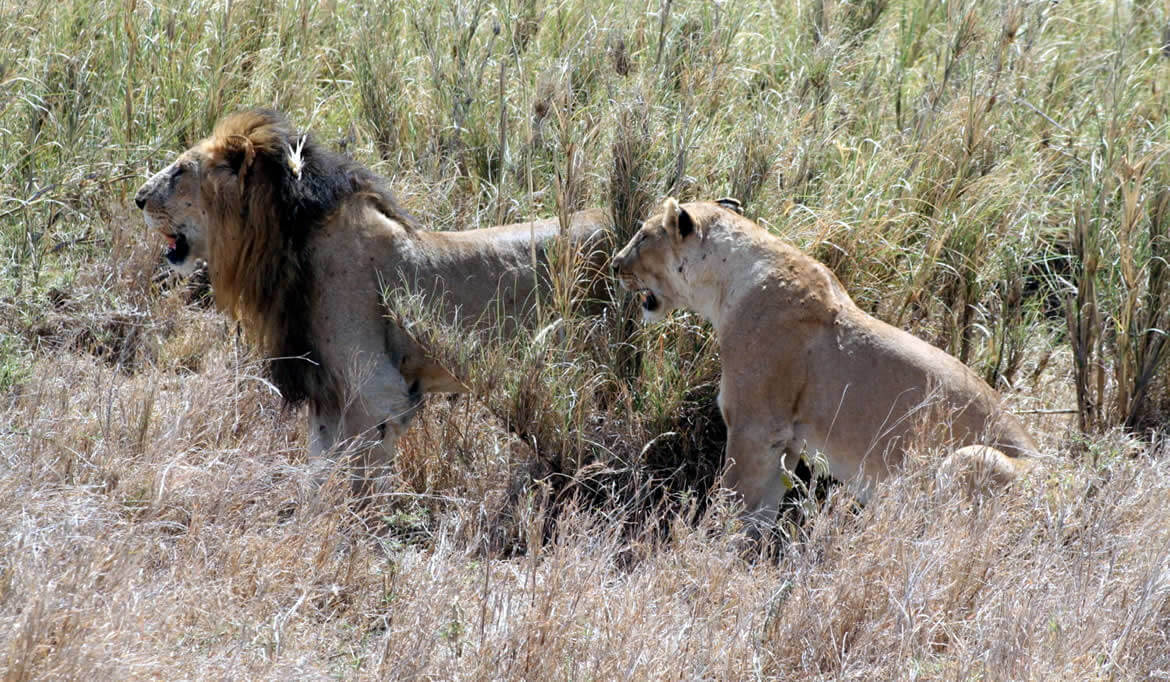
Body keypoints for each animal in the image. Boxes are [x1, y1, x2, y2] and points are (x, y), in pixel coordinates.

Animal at [135, 109, 608, 493]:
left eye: (179, 171)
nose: (138, 198)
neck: (282, 240)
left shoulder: (374, 390)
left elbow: (360, 483)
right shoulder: (328, 390)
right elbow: (318, 471)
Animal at [608, 200, 1038, 535]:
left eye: (643, 235)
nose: (614, 264)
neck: (726, 283)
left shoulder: (755, 426)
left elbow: (734, 498)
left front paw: (706, 547)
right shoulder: (787, 440)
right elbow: (760, 513)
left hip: (971, 459)